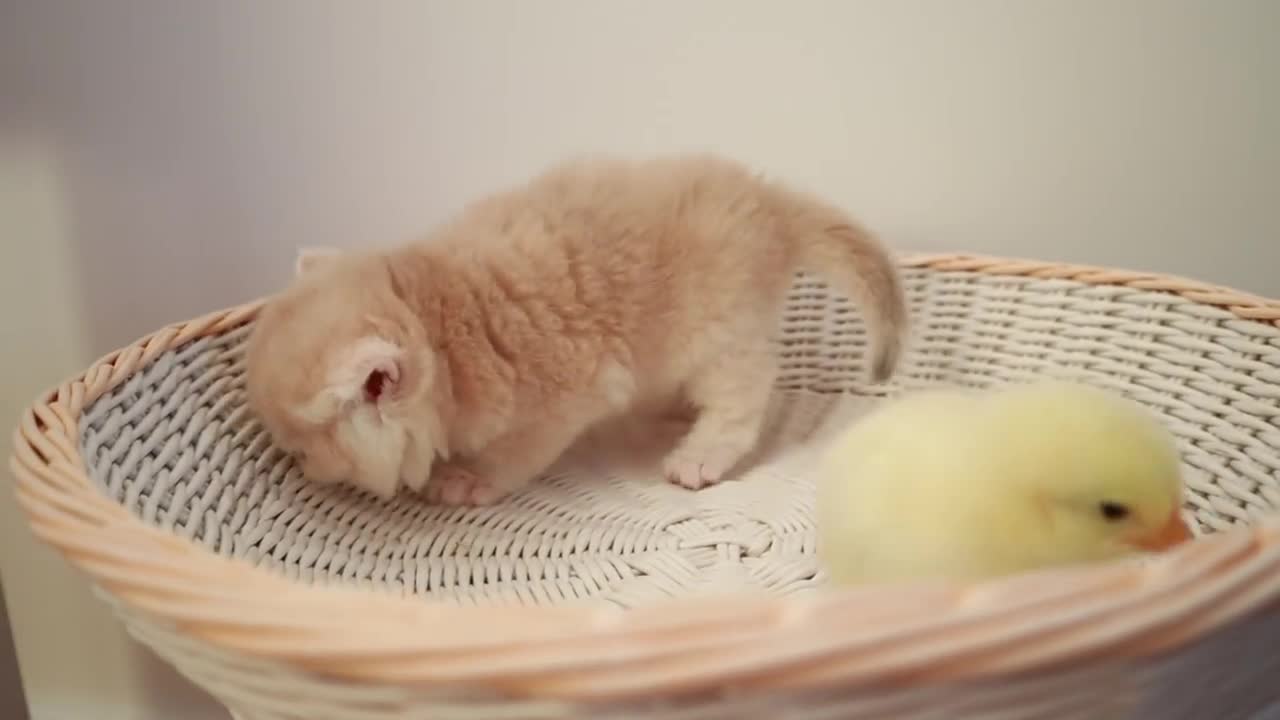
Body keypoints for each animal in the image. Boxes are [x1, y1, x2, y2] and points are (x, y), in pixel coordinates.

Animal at [241, 154, 911, 502]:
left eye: (301, 450)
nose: (302, 470)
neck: (440, 320)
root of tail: (768, 201)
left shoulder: (565, 400)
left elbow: (513, 453)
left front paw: (466, 479)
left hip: (721, 335)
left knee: (741, 402)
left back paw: (699, 456)